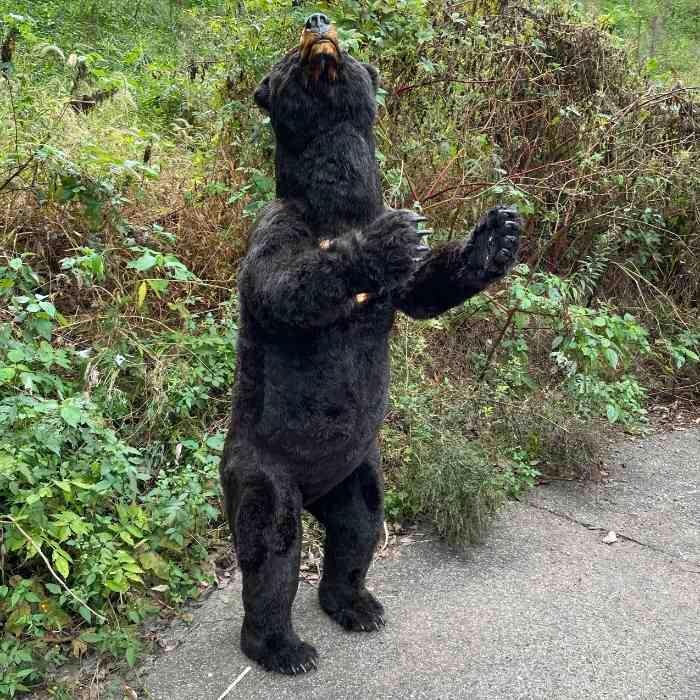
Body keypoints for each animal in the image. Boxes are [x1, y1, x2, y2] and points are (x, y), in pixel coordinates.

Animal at [219, 12, 521, 675]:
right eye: (287, 56)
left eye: (348, 45)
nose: (317, 23)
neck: (340, 207)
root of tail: (313, 492)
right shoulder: (278, 227)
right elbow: (283, 287)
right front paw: (382, 240)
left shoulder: (400, 282)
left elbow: (425, 288)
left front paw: (497, 234)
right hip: (261, 464)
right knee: (271, 548)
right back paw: (284, 648)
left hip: (357, 470)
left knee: (359, 528)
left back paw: (356, 604)